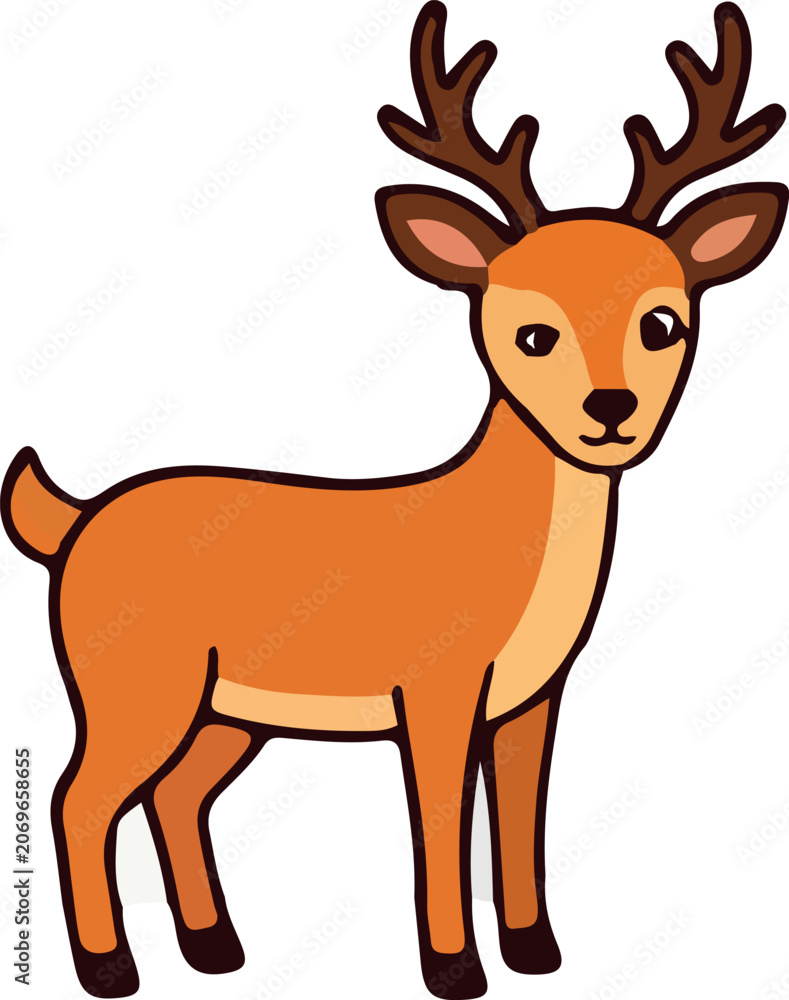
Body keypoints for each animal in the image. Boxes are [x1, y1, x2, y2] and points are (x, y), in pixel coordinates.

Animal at [2, 2, 786, 997]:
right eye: (529, 331)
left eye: (663, 320)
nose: (609, 414)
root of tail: (70, 523)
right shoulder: (436, 686)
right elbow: (440, 823)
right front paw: (454, 969)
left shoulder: (533, 696)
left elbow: (520, 821)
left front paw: (536, 953)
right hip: (133, 684)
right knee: (80, 797)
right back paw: (112, 968)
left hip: (226, 711)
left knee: (173, 795)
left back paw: (216, 949)